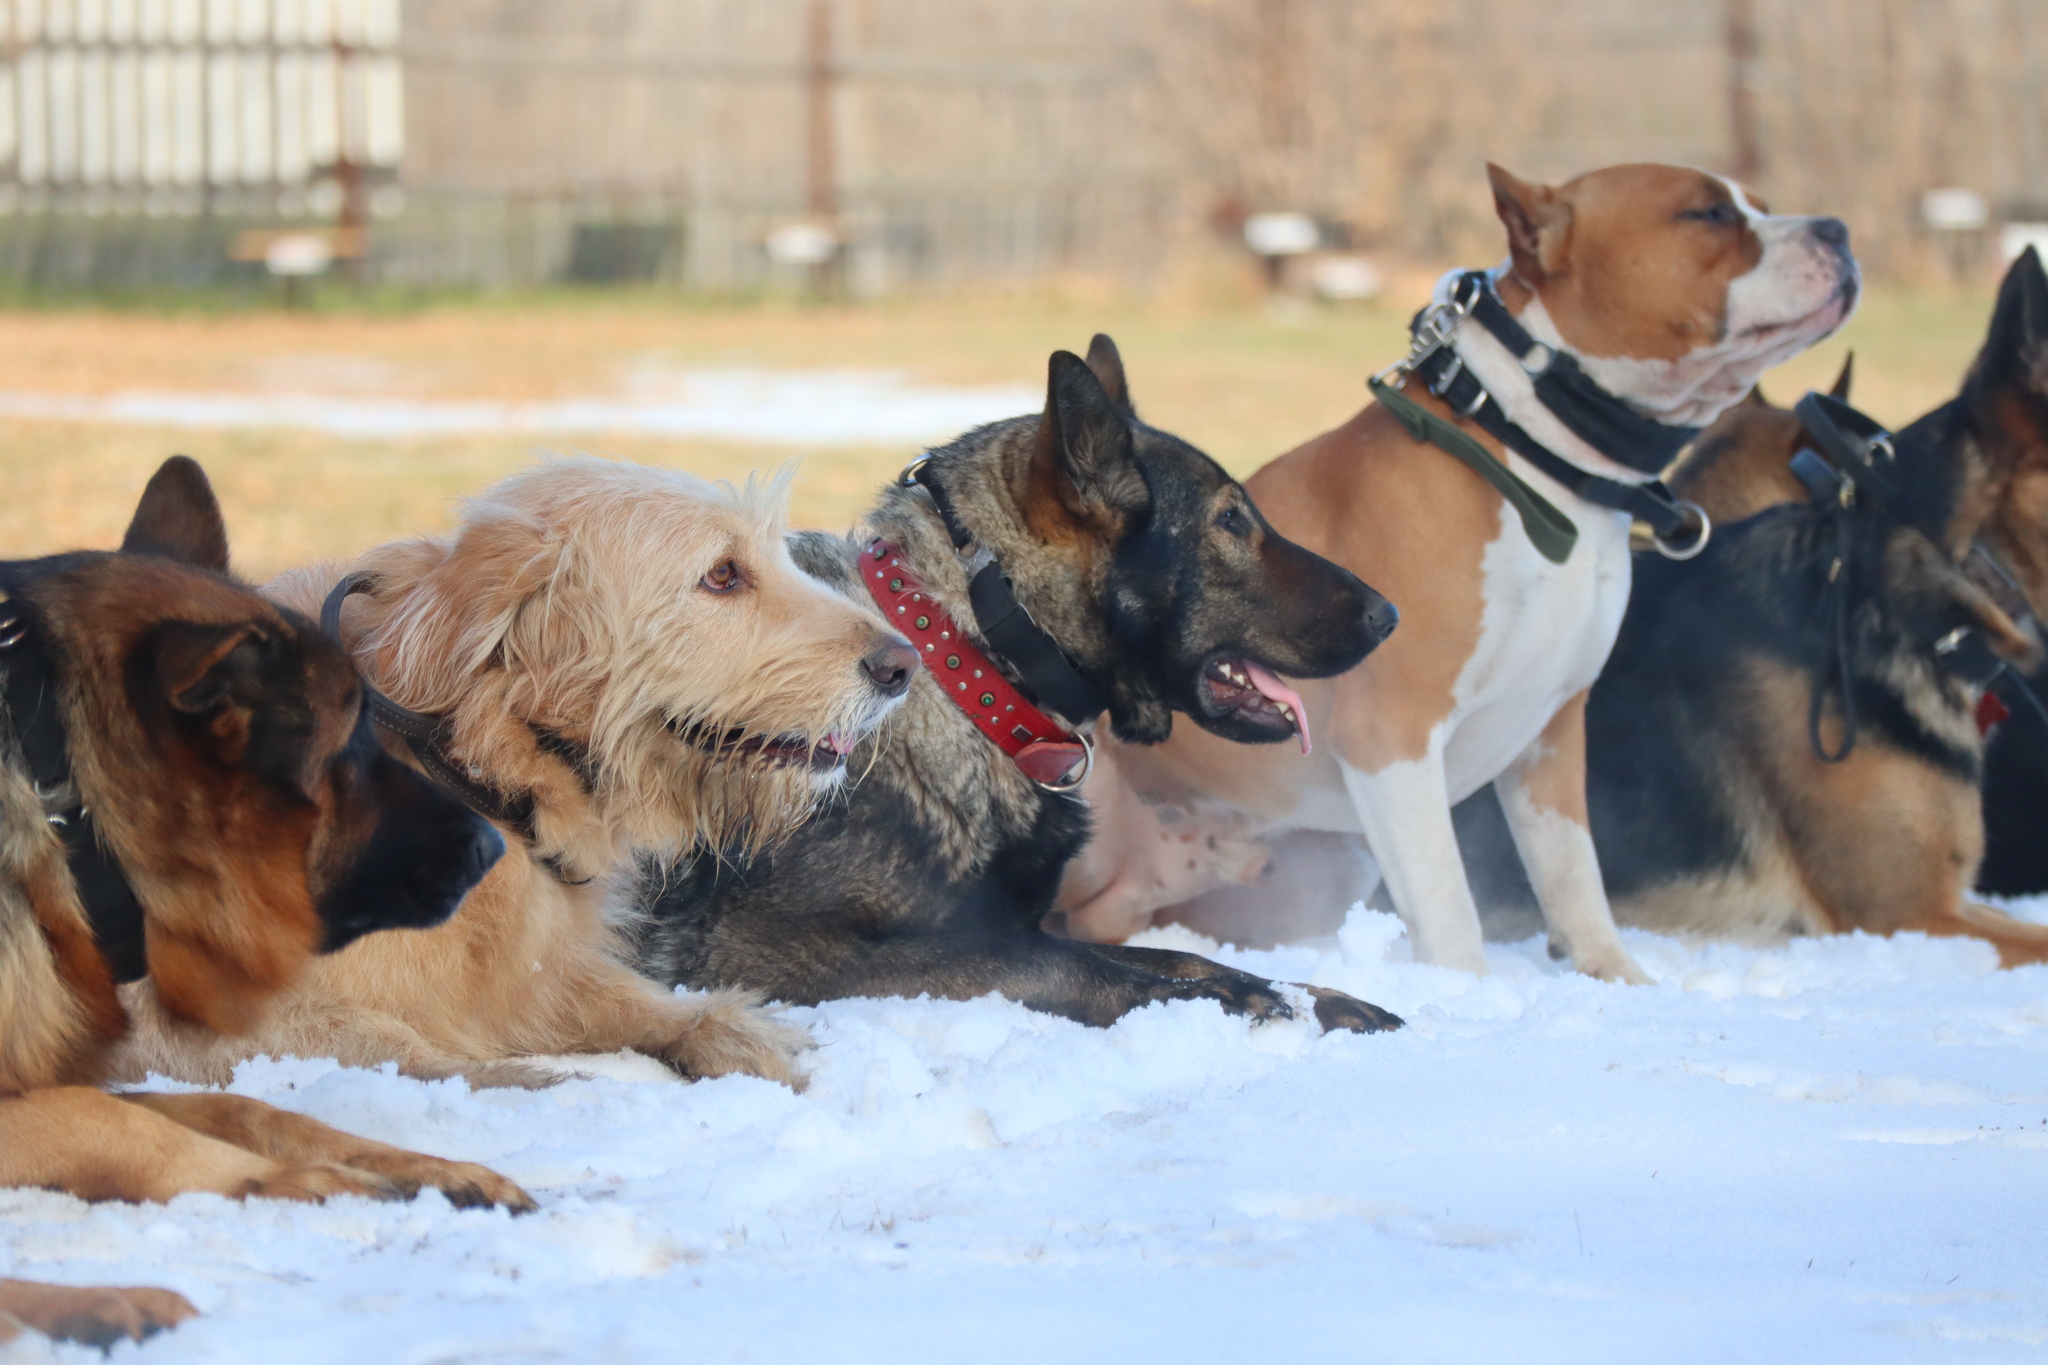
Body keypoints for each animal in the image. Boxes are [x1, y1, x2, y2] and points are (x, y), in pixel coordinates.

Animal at [2, 464, 528, 1350]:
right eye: (352, 740)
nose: (494, 846)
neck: (64, 801)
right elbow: (112, 1120)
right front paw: (310, 1181)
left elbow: (240, 1106)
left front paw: (415, 1166)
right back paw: (106, 1300)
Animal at [114, 458, 913, 1088]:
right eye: (722, 574)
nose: (903, 663)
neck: (478, 760)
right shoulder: (174, 1016)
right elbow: (399, 1047)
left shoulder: (533, 976)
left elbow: (614, 995)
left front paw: (726, 1029)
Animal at [638, 341, 1409, 1035]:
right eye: (1229, 519)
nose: (1390, 615)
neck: (966, 664)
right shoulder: (769, 953)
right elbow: (1070, 966)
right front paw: (1226, 1003)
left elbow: (1179, 956)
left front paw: (1316, 997)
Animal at [1064, 165, 1867, 978]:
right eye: (1706, 214)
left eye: (1760, 206)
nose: (1838, 230)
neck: (1538, 466)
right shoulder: (1395, 737)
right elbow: (1450, 905)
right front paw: (1465, 991)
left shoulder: (1554, 728)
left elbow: (1573, 876)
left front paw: (1616, 977)